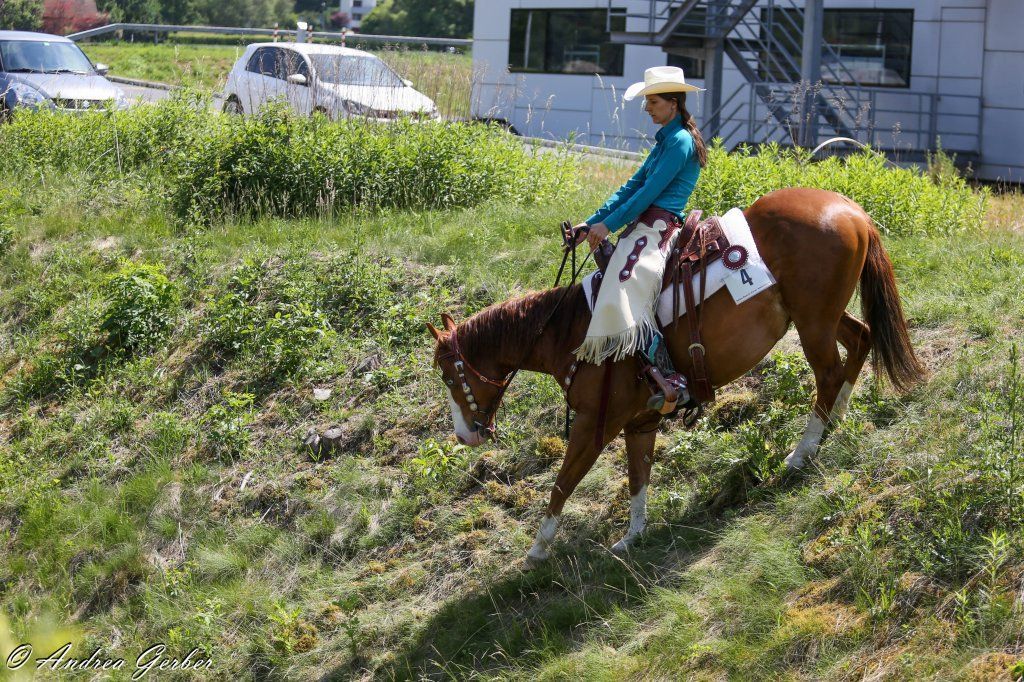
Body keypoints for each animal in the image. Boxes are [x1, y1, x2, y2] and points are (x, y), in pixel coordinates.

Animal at [426, 187, 924, 567]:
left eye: (449, 377)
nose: (465, 435)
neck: (571, 330)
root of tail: (853, 211)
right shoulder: (639, 421)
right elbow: (638, 477)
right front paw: (631, 537)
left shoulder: (593, 425)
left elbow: (562, 484)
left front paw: (536, 551)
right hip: (820, 316)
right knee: (859, 340)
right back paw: (835, 421)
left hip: (813, 323)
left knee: (829, 372)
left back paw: (802, 453)